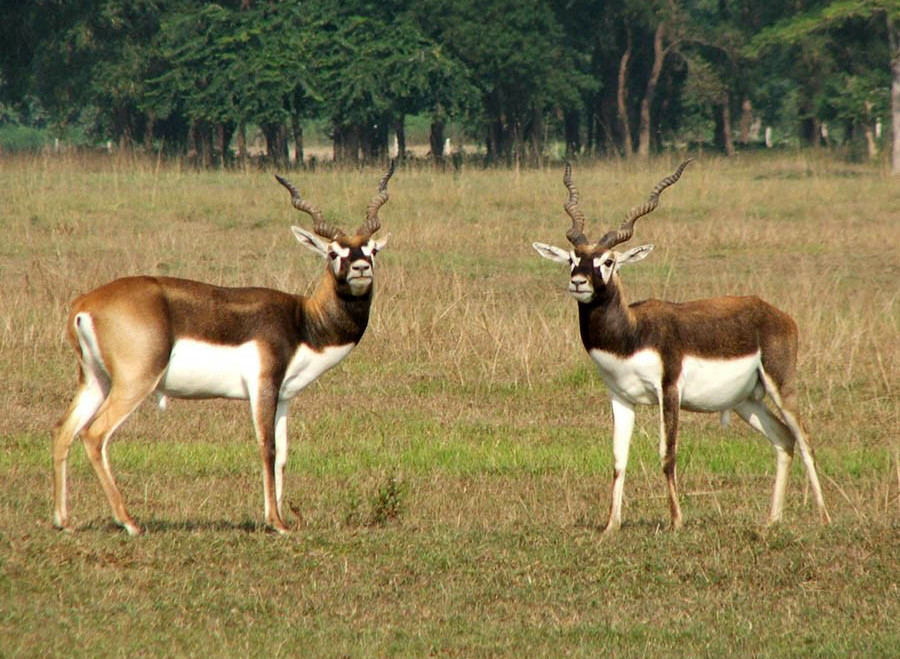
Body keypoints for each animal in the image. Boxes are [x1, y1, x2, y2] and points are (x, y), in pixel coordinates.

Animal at [51, 162, 396, 532]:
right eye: (334, 252)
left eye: (372, 250)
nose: (361, 269)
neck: (302, 320)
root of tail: (85, 303)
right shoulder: (263, 386)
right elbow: (267, 447)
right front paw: (276, 522)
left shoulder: (284, 395)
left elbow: (283, 454)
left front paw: (280, 517)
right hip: (135, 382)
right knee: (94, 434)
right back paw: (129, 522)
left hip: (95, 380)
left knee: (63, 429)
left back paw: (64, 521)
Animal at [532, 162, 832, 532]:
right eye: (572, 259)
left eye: (608, 261)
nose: (578, 282)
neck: (632, 334)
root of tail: (777, 314)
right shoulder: (620, 397)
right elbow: (618, 459)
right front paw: (610, 526)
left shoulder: (669, 390)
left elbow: (667, 454)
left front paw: (676, 522)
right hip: (746, 401)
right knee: (783, 439)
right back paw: (771, 521)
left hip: (781, 386)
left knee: (805, 440)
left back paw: (824, 517)